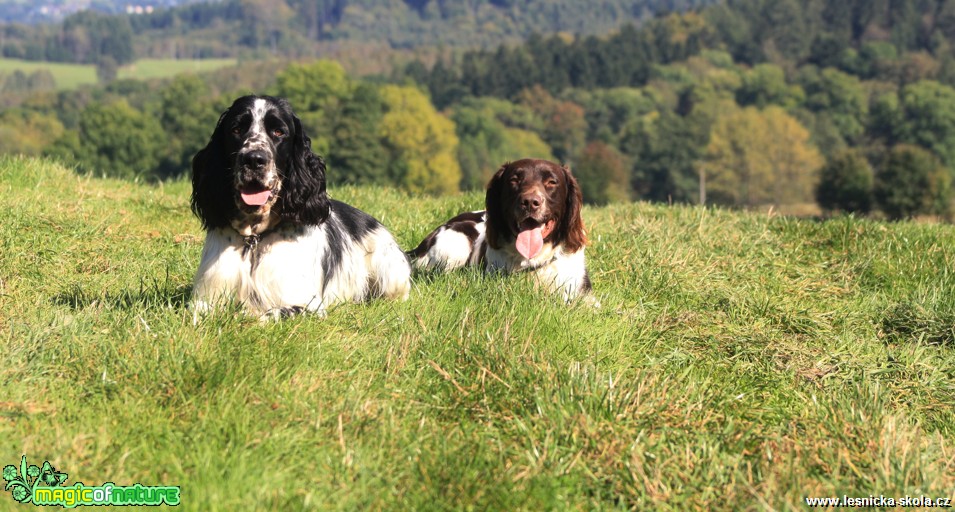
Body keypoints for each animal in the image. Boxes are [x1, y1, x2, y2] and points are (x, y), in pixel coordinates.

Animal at [190, 95, 410, 318]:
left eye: (279, 132)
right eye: (236, 129)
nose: (253, 159)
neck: (254, 239)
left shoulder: (308, 305)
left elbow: (266, 314)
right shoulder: (204, 297)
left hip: (390, 272)